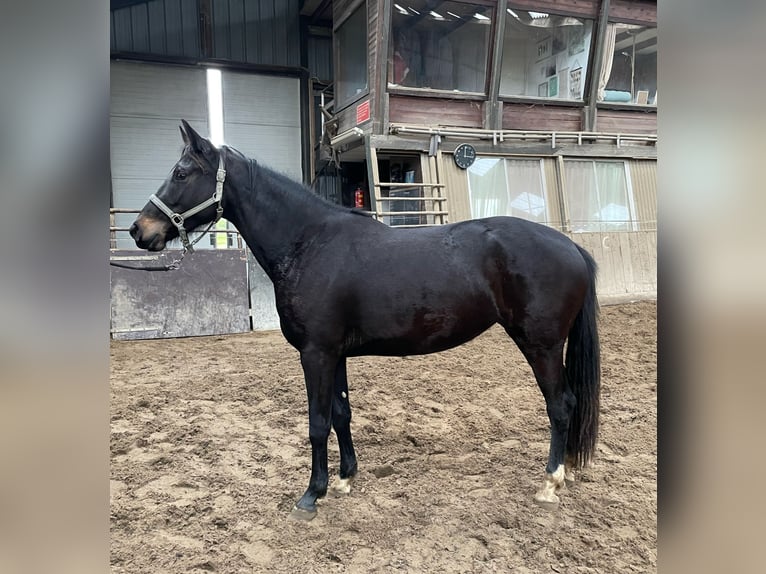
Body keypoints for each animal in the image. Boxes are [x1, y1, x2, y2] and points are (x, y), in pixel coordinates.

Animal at [130, 121, 600, 520]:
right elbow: (341, 413)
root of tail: (573, 248)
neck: (309, 243)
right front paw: (344, 479)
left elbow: (317, 423)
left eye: (182, 173)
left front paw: (311, 494)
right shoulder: (334, 354)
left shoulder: (315, 354)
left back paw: (550, 483)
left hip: (541, 345)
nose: (139, 230)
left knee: (561, 405)